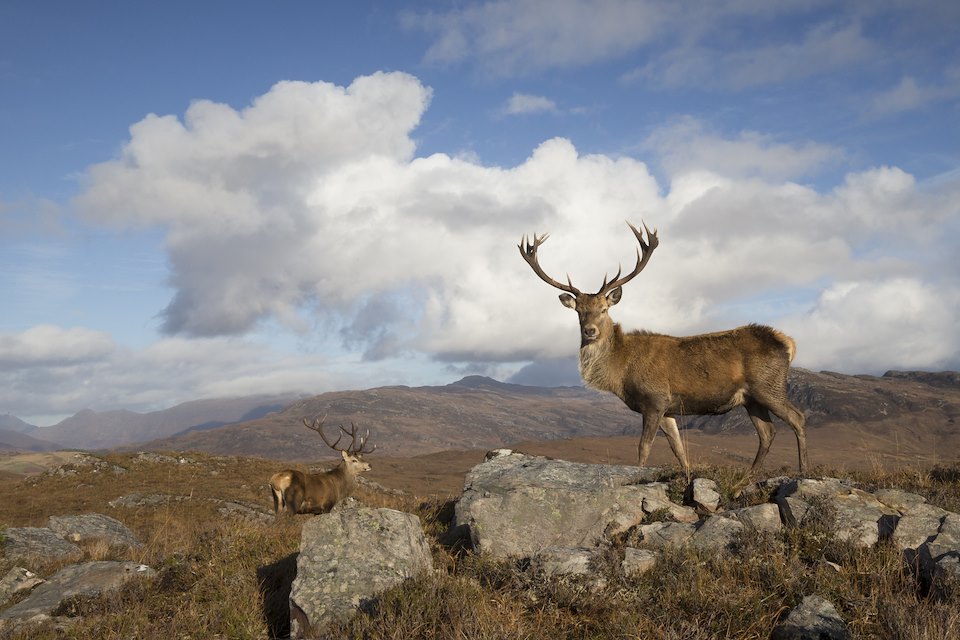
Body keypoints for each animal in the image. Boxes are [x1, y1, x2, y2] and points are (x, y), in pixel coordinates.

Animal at [520, 222, 808, 478]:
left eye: (604, 309)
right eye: (579, 311)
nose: (590, 331)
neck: (621, 371)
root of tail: (788, 342)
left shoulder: (654, 400)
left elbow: (643, 448)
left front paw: (637, 475)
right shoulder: (668, 409)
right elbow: (679, 450)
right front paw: (687, 476)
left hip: (768, 386)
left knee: (797, 417)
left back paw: (803, 471)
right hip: (752, 399)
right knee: (767, 432)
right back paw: (748, 476)